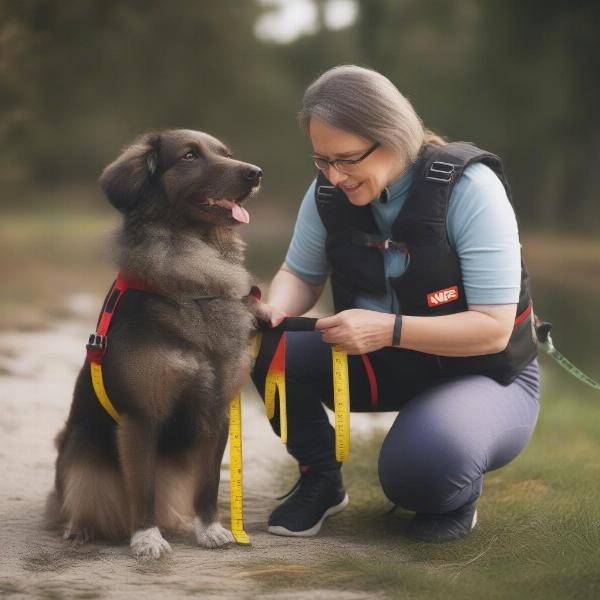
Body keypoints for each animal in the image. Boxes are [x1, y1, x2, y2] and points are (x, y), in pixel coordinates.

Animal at [47, 129, 262, 560]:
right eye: (189, 156)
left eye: (226, 153)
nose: (255, 173)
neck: (189, 286)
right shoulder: (142, 416)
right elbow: (141, 488)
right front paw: (146, 537)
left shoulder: (216, 412)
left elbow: (208, 485)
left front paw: (210, 529)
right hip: (78, 447)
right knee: (74, 496)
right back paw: (81, 527)